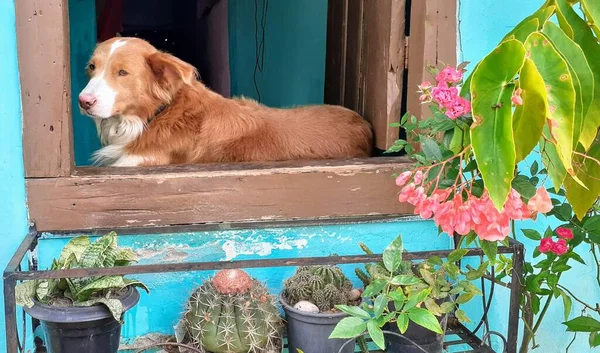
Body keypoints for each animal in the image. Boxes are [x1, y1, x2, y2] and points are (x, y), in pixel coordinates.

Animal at [78, 37, 372, 167]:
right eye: (92, 67)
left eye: (122, 73)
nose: (83, 101)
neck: (157, 115)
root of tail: (365, 126)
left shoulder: (137, 163)